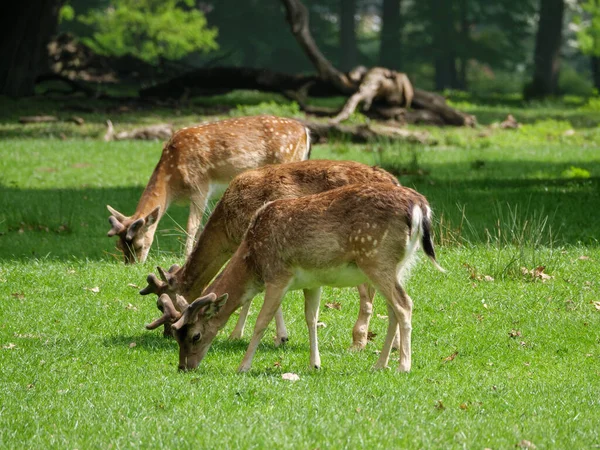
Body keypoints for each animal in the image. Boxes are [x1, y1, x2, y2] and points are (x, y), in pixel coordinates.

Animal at [105, 115, 310, 264]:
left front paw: (186, 255)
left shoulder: (200, 186)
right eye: (120, 246)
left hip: (288, 159)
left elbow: (192, 225)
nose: (132, 266)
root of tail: (305, 131)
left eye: (139, 245)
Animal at [143, 160, 400, 350]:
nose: (168, 333)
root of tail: (395, 181)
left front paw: (269, 336)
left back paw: (361, 343)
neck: (228, 228)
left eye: (161, 306)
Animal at [148, 183, 442, 372]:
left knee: (404, 305)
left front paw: (243, 366)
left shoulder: (279, 275)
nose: (184, 367)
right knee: (393, 310)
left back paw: (403, 366)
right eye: (177, 337)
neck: (254, 260)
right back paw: (380, 364)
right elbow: (311, 319)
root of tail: (420, 207)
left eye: (195, 335)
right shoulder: (313, 282)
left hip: (376, 258)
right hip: (398, 264)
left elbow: (261, 322)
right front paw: (315, 364)